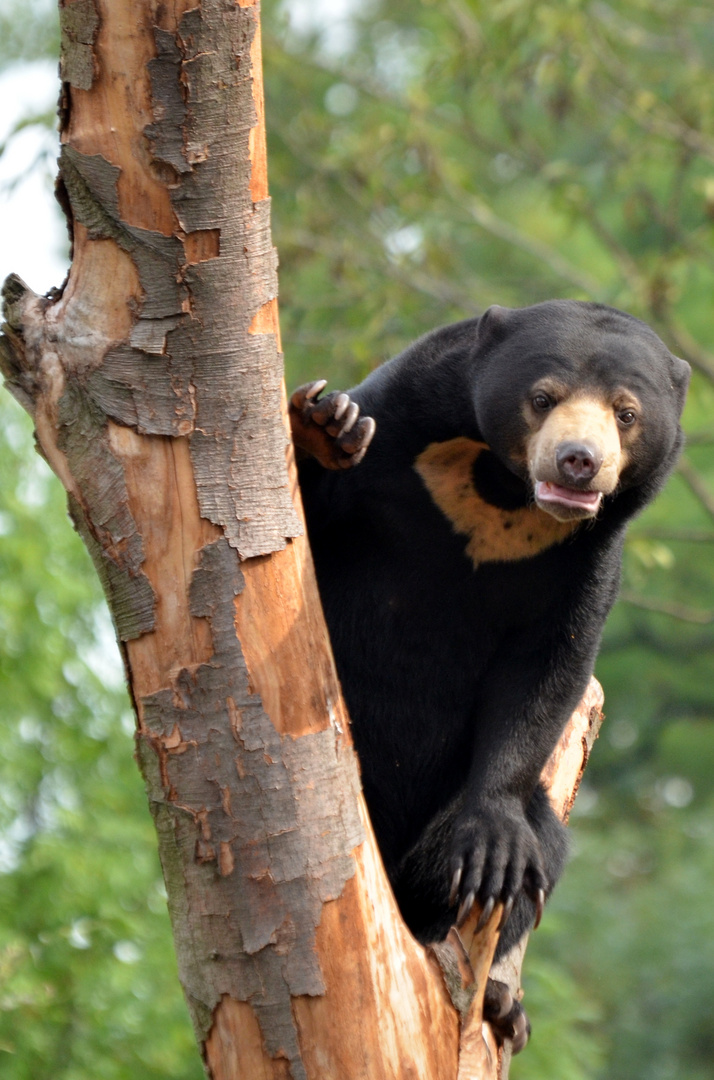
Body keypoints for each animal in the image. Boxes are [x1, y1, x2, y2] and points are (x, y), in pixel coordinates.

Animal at [287, 300, 686, 1049]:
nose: (579, 462)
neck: (499, 492)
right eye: (543, 398)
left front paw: (491, 848)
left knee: (543, 850)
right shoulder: (400, 426)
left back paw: (502, 1002)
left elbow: (548, 671)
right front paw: (327, 425)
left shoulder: (589, 557)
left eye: (626, 412)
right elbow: (297, 532)